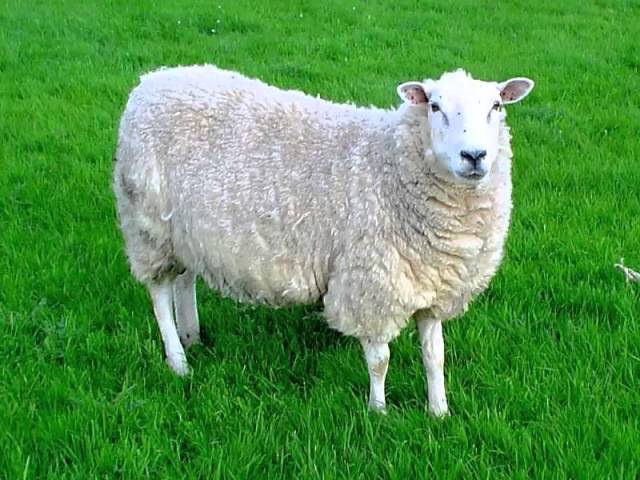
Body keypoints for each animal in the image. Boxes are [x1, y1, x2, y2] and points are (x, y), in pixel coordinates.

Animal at [113, 65, 534, 416]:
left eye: (496, 105)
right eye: (434, 106)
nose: (474, 155)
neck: (392, 167)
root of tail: (150, 82)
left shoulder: (431, 285)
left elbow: (435, 357)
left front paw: (439, 412)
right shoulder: (370, 285)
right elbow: (380, 360)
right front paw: (378, 412)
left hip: (182, 232)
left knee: (184, 280)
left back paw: (193, 337)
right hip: (147, 224)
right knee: (159, 294)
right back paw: (178, 360)